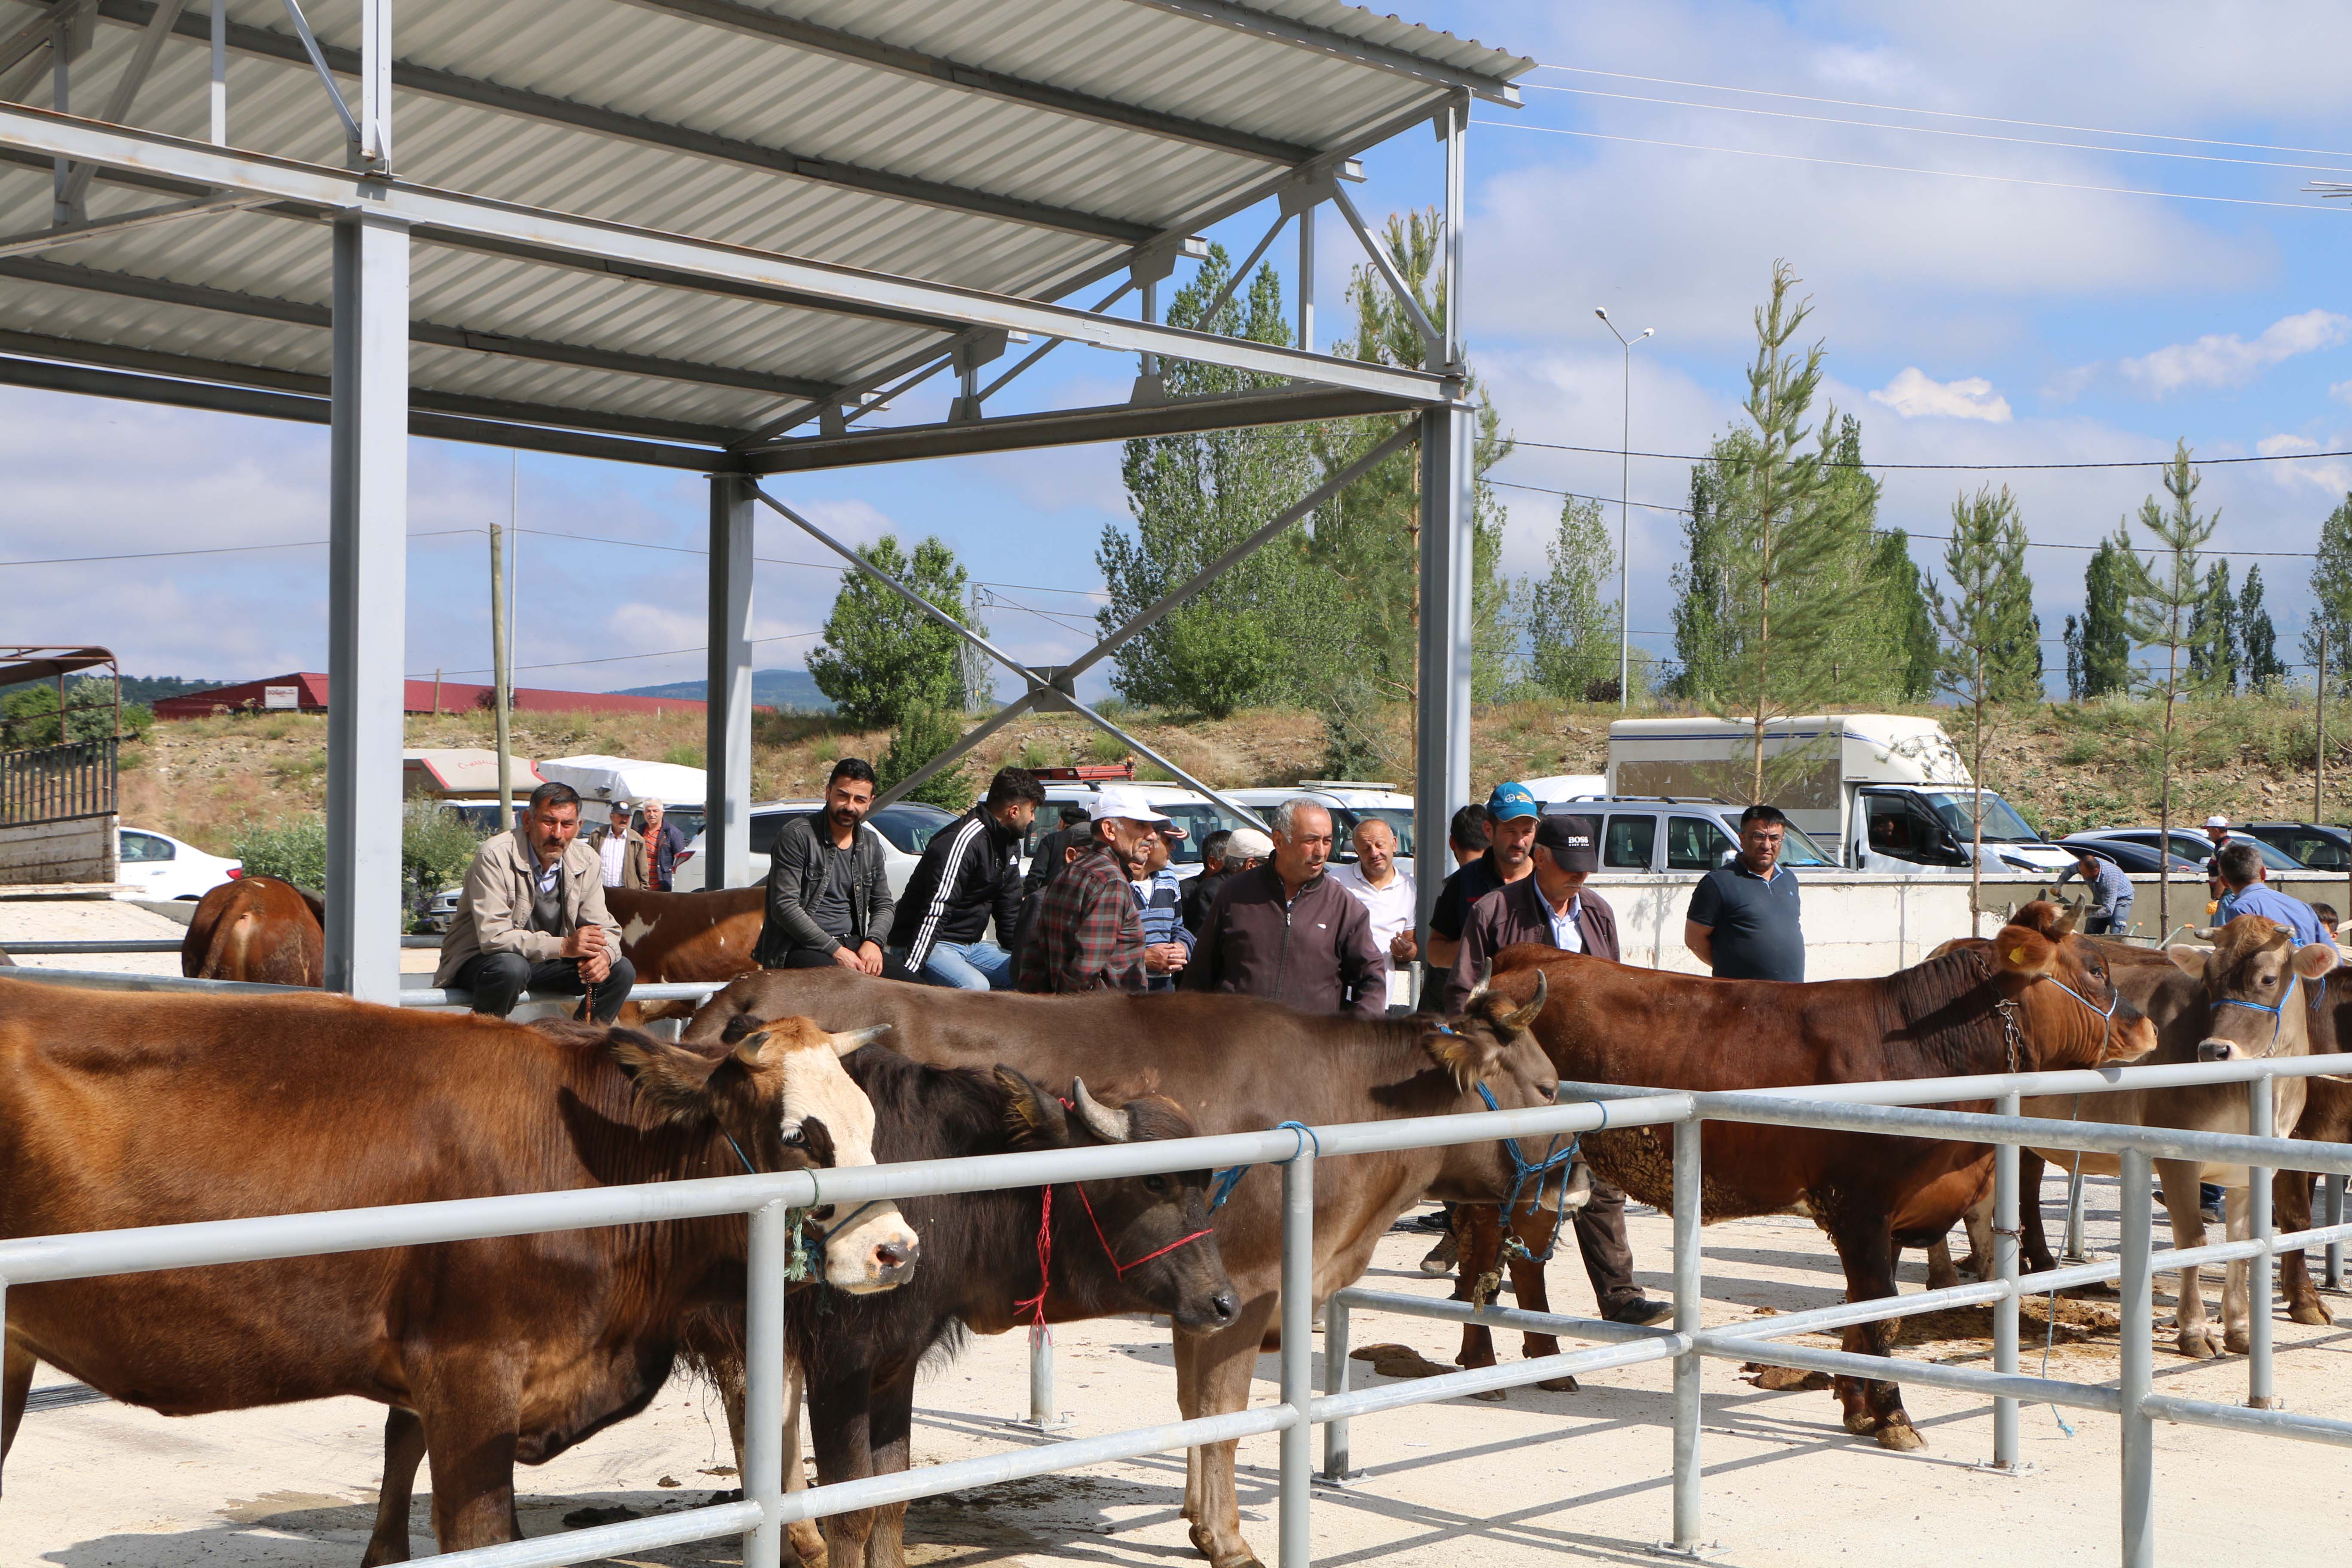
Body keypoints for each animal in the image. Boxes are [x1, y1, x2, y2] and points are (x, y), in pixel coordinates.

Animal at [0, 987, 917, 1561]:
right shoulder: (471, 1369)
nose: (897, 1248)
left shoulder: (426, 1378)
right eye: (800, 1135)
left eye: (870, 1119)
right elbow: (482, 1539)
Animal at [682, 968, 1562, 1568]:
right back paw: (798, 1531)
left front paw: (1199, 1519)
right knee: (759, 1393)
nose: (1576, 1179)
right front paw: (1228, 1538)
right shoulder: (1251, 1287)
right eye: (1551, 1085)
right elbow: (1224, 1411)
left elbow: (1194, 1405)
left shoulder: (1204, 1291)